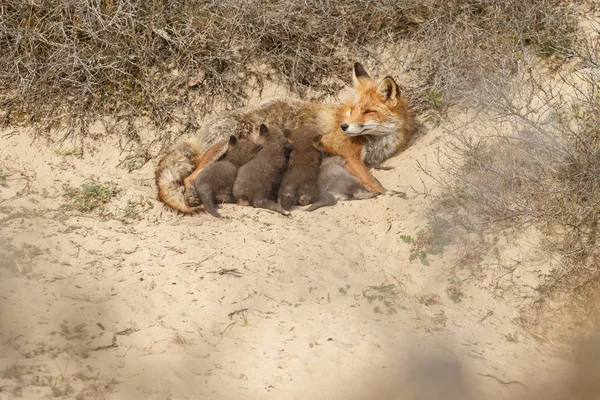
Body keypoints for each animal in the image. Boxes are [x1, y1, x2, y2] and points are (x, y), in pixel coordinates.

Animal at [155, 62, 414, 214]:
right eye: (352, 110)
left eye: (368, 111)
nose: (344, 126)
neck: (378, 140)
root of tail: (199, 132)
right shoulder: (349, 154)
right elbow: (374, 182)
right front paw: (389, 193)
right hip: (222, 148)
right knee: (190, 177)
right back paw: (193, 197)